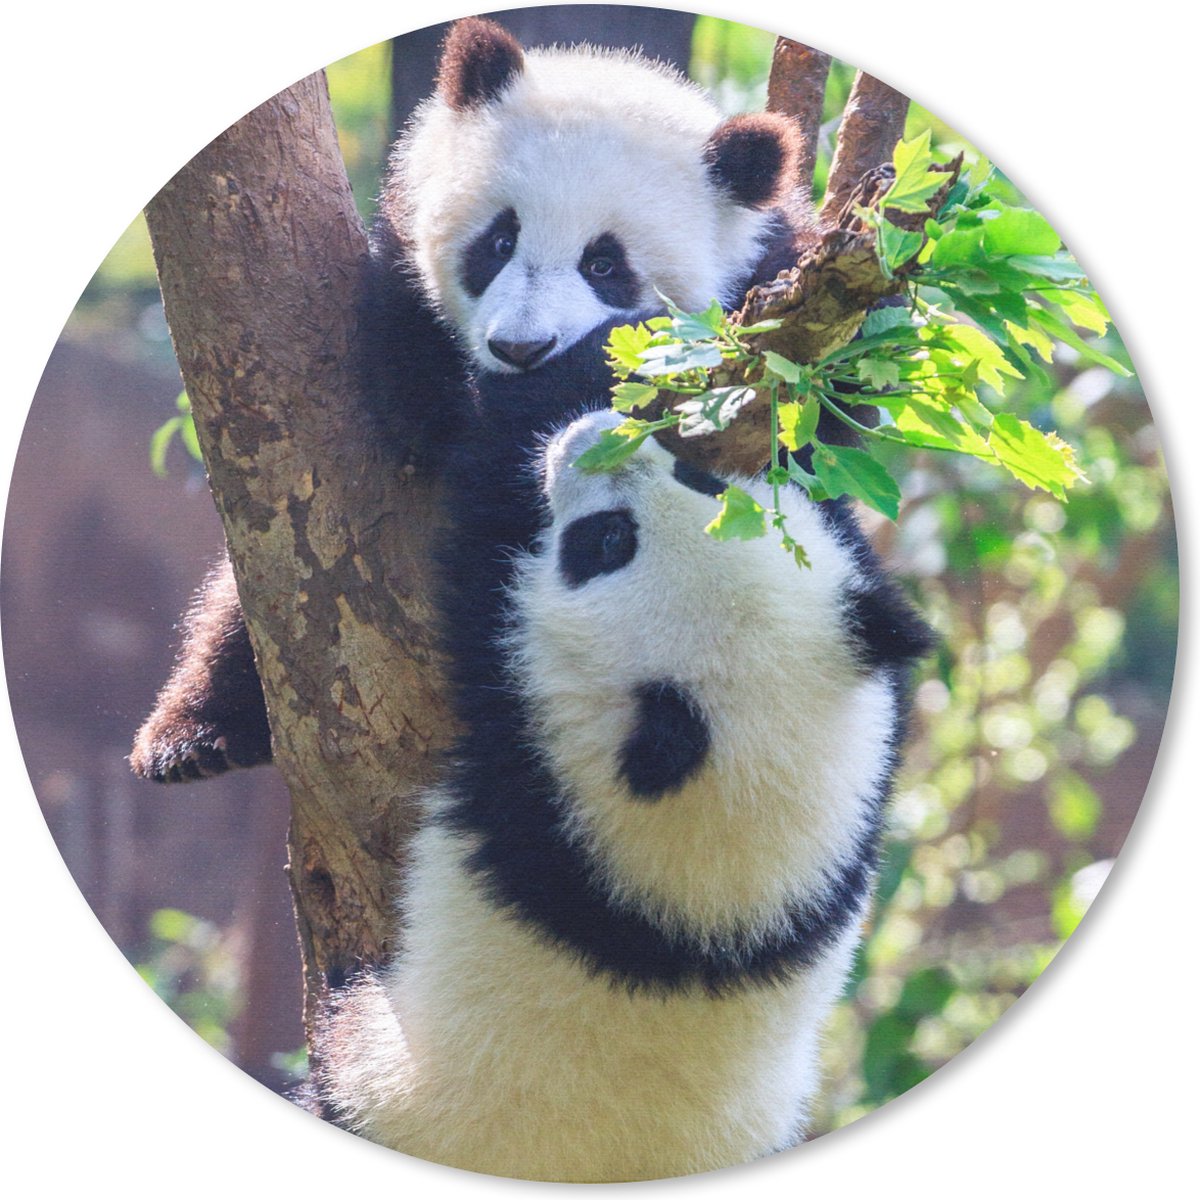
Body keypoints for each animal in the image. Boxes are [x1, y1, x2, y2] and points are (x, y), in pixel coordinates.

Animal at [130, 15, 814, 783]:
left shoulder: (774, 304)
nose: (521, 348)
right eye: (499, 240)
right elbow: (426, 417)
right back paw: (194, 735)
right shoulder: (401, 296)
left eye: (605, 265)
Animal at [310, 333, 932, 1182]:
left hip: (395, 1091)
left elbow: (479, 541)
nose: (593, 436)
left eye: (606, 543)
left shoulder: (532, 755)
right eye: (705, 479)